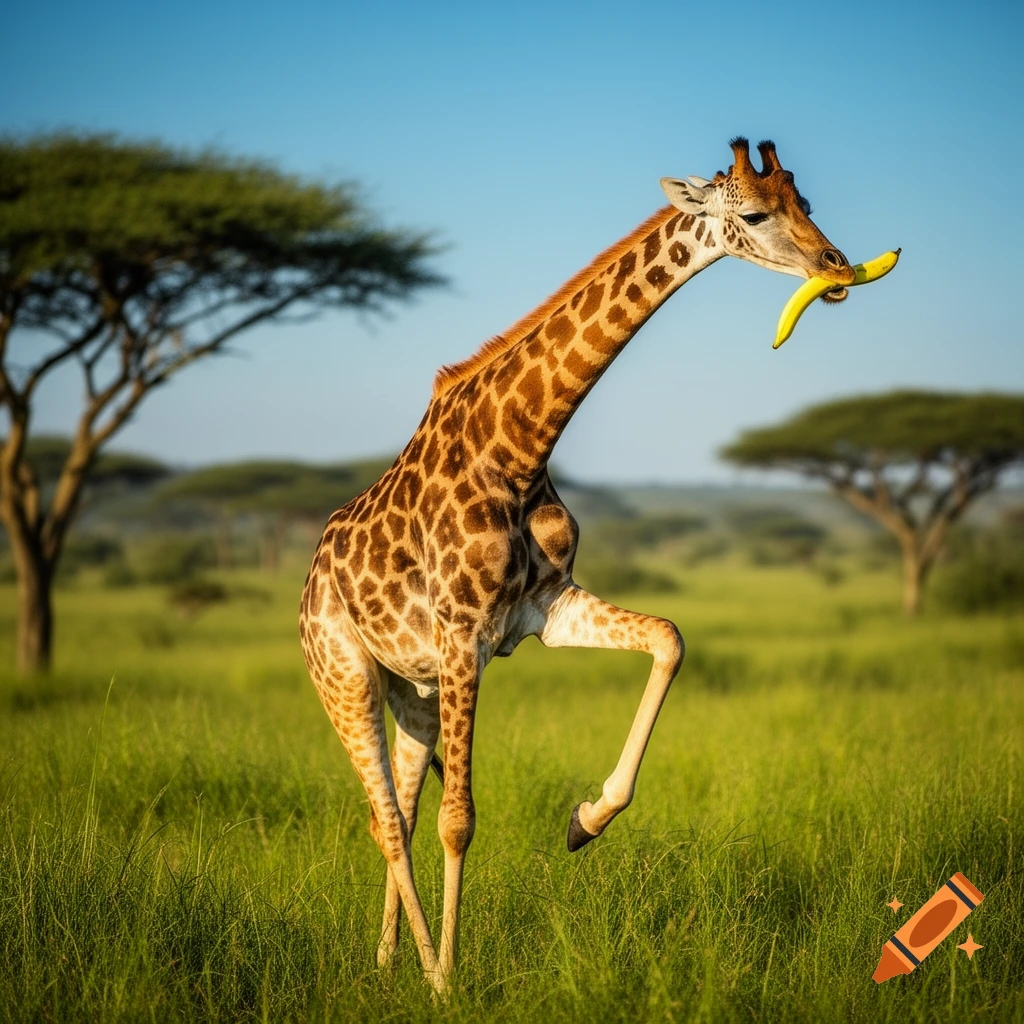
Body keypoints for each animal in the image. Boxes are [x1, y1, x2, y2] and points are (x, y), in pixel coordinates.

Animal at [299, 138, 855, 992]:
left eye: (809, 206)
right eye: (757, 214)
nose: (837, 267)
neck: (519, 448)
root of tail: (307, 580)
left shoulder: (541, 612)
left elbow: (669, 637)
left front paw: (586, 821)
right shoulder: (464, 636)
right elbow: (460, 820)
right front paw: (450, 981)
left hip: (413, 688)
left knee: (399, 808)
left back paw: (389, 959)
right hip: (344, 674)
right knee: (389, 819)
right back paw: (423, 967)